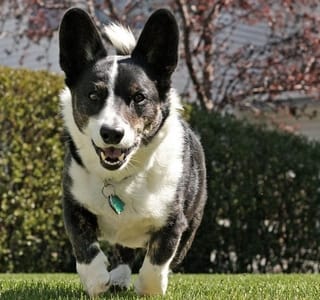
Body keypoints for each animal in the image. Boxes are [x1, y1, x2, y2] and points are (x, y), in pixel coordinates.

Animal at [58, 7, 206, 298]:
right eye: (93, 95)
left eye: (139, 98)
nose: (111, 133)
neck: (121, 177)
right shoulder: (74, 207)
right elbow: (85, 250)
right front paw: (97, 281)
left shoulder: (174, 223)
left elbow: (157, 262)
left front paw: (150, 288)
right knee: (123, 255)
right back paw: (117, 278)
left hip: (193, 223)